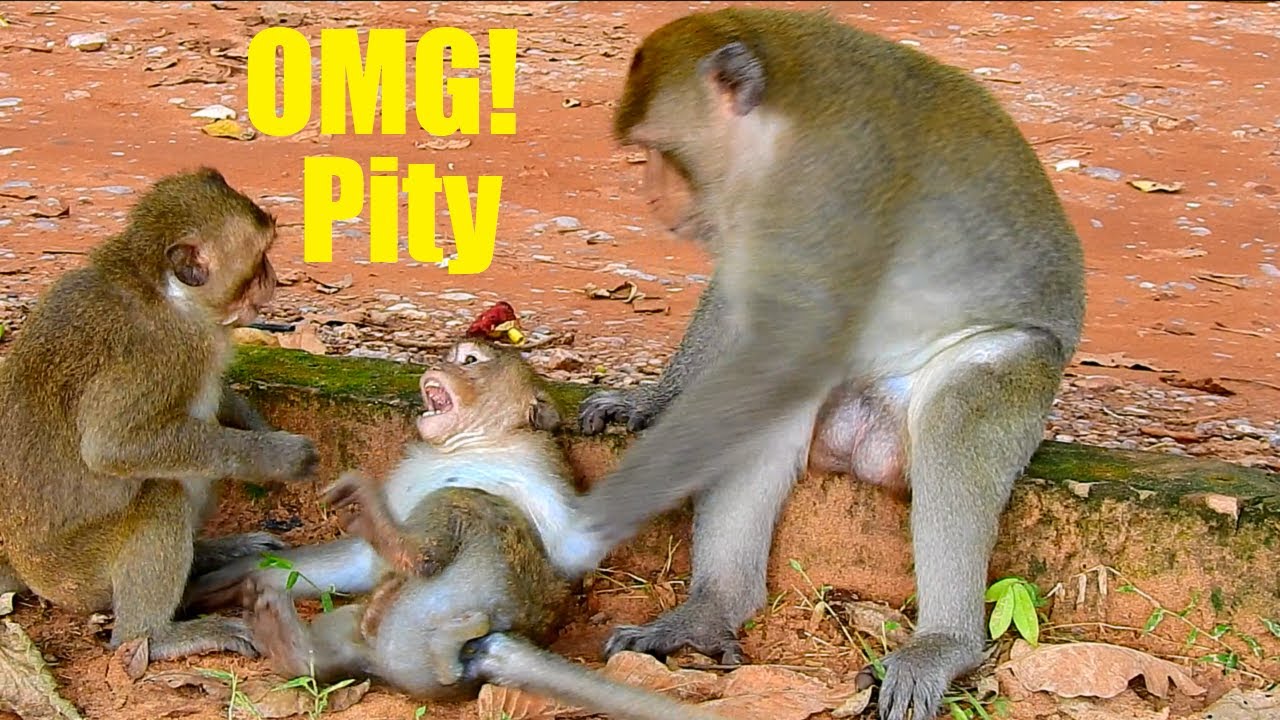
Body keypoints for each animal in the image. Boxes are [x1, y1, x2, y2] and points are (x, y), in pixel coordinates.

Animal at [0, 167, 320, 663]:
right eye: (259, 261)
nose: (274, 279)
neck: (162, 291)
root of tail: (26, 570)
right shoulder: (164, 352)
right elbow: (112, 446)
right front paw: (280, 458)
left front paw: (259, 433)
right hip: (79, 574)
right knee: (161, 493)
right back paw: (153, 635)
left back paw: (208, 552)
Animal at [192, 340, 725, 720]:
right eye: (452, 356)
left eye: (469, 361)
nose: (436, 364)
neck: (472, 442)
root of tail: (481, 649)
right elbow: (352, 563)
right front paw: (222, 578)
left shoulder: (538, 469)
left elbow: (571, 545)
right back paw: (293, 645)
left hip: (487, 587)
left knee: (469, 505)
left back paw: (409, 555)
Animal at [568, 9, 1086, 720]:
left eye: (661, 151)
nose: (652, 196)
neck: (779, 122)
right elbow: (750, 307)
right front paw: (650, 400)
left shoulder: (833, 177)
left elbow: (788, 338)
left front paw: (574, 524)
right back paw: (711, 611)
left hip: (1025, 377)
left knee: (959, 410)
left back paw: (946, 644)